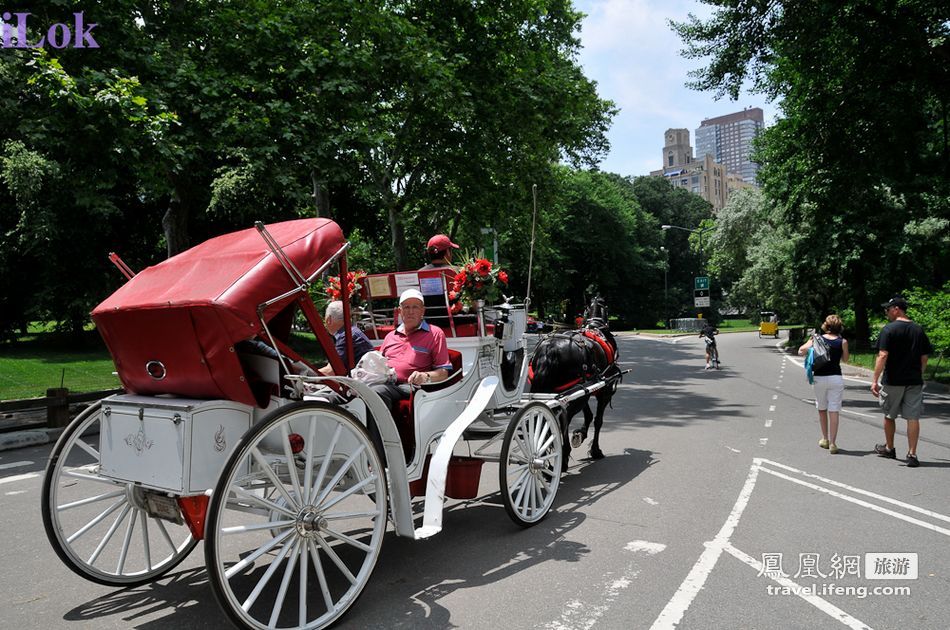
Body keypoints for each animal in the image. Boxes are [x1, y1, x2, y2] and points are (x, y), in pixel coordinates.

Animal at [528, 296, 624, 470]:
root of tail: (550, 349)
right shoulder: (604, 391)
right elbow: (598, 420)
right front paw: (595, 450)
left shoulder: (584, 389)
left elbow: (589, 415)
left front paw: (580, 435)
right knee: (563, 418)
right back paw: (563, 456)